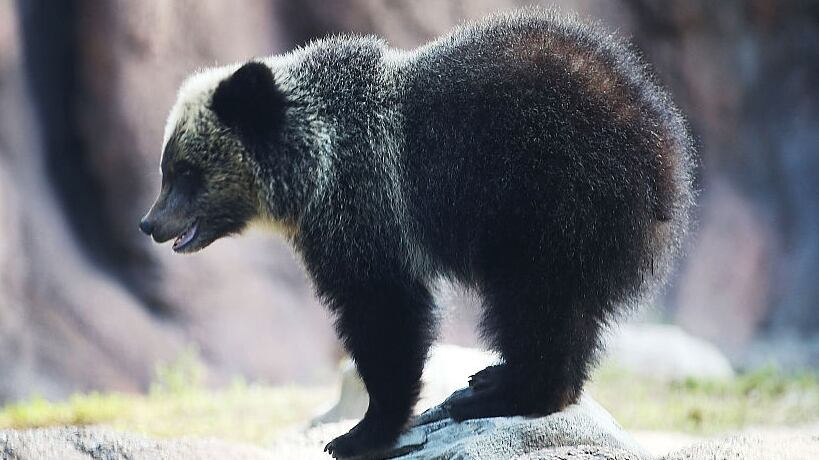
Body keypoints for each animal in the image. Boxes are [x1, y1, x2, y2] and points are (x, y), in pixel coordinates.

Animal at [139, 9, 695, 459]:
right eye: (168, 167)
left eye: (185, 172)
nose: (150, 223)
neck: (316, 165)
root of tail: (666, 159)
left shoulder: (367, 208)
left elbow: (385, 312)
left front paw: (359, 432)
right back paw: (494, 376)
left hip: (552, 206)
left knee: (536, 302)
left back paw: (499, 392)